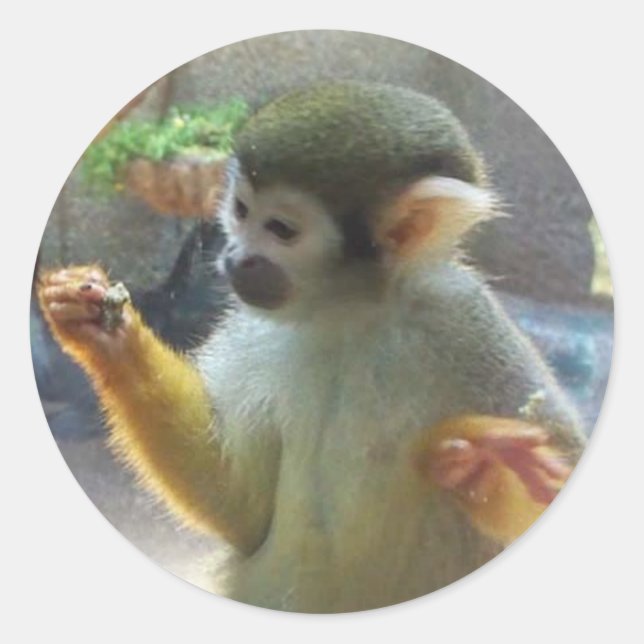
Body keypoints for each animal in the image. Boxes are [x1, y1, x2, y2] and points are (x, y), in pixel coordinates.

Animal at [38, 81, 586, 613]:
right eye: (241, 211)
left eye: (281, 229)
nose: (236, 257)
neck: (349, 311)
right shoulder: (257, 328)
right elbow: (239, 501)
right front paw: (105, 332)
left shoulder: (459, 313)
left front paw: (487, 471)